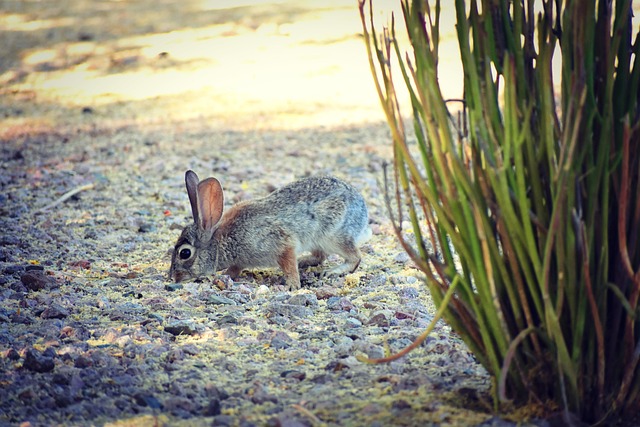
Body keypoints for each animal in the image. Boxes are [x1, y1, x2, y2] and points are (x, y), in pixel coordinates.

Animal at [169, 170, 372, 290]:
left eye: (185, 253)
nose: (173, 277)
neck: (221, 242)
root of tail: (363, 210)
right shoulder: (240, 260)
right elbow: (234, 270)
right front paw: (222, 276)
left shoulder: (282, 243)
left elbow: (289, 267)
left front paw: (292, 287)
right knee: (320, 256)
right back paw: (304, 261)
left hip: (334, 236)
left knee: (354, 257)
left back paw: (334, 271)